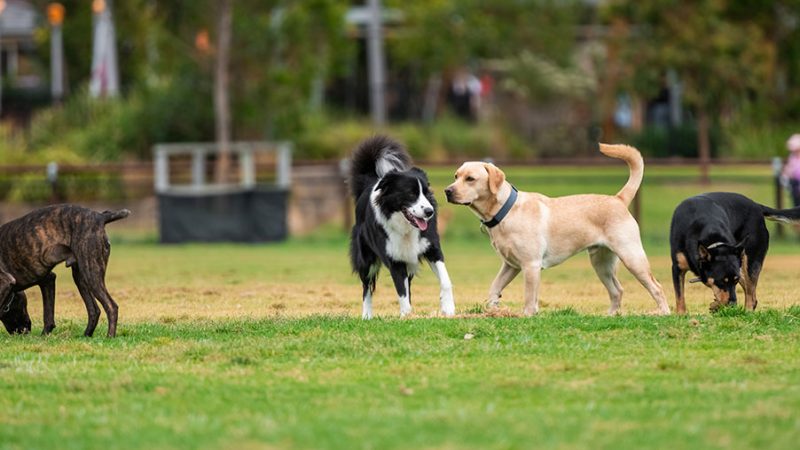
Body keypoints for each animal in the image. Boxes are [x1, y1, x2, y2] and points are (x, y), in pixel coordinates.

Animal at [0, 206, 130, 336]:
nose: (25, 331)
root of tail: (100, 217)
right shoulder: (48, 280)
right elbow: (48, 315)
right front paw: (44, 336)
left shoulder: (6, 282)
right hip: (80, 278)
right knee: (94, 310)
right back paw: (86, 335)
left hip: (91, 274)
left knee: (111, 306)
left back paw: (110, 336)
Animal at [668, 192, 800, 312]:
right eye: (722, 281)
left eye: (735, 281)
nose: (733, 304)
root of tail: (756, 205)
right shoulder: (677, 268)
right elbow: (680, 296)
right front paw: (681, 315)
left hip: (751, 261)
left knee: (751, 294)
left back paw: (747, 312)